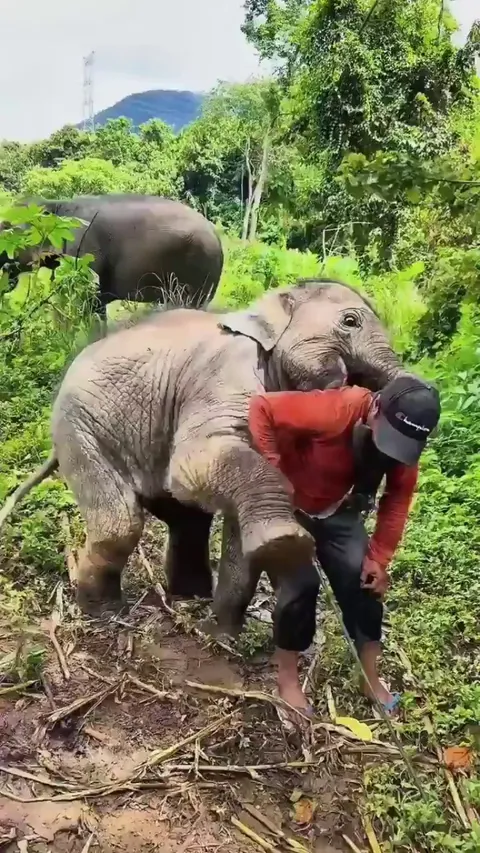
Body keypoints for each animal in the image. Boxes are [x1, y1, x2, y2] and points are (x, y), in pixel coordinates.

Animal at [0, 194, 224, 323]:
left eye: (5, 227)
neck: (56, 205)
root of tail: (216, 235)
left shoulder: (84, 251)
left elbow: (88, 299)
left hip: (199, 269)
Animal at [0, 278, 405, 638]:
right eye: (350, 321)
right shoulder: (225, 378)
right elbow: (195, 463)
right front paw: (287, 544)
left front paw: (222, 635)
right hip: (81, 429)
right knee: (121, 522)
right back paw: (104, 612)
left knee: (187, 517)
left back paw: (189, 597)